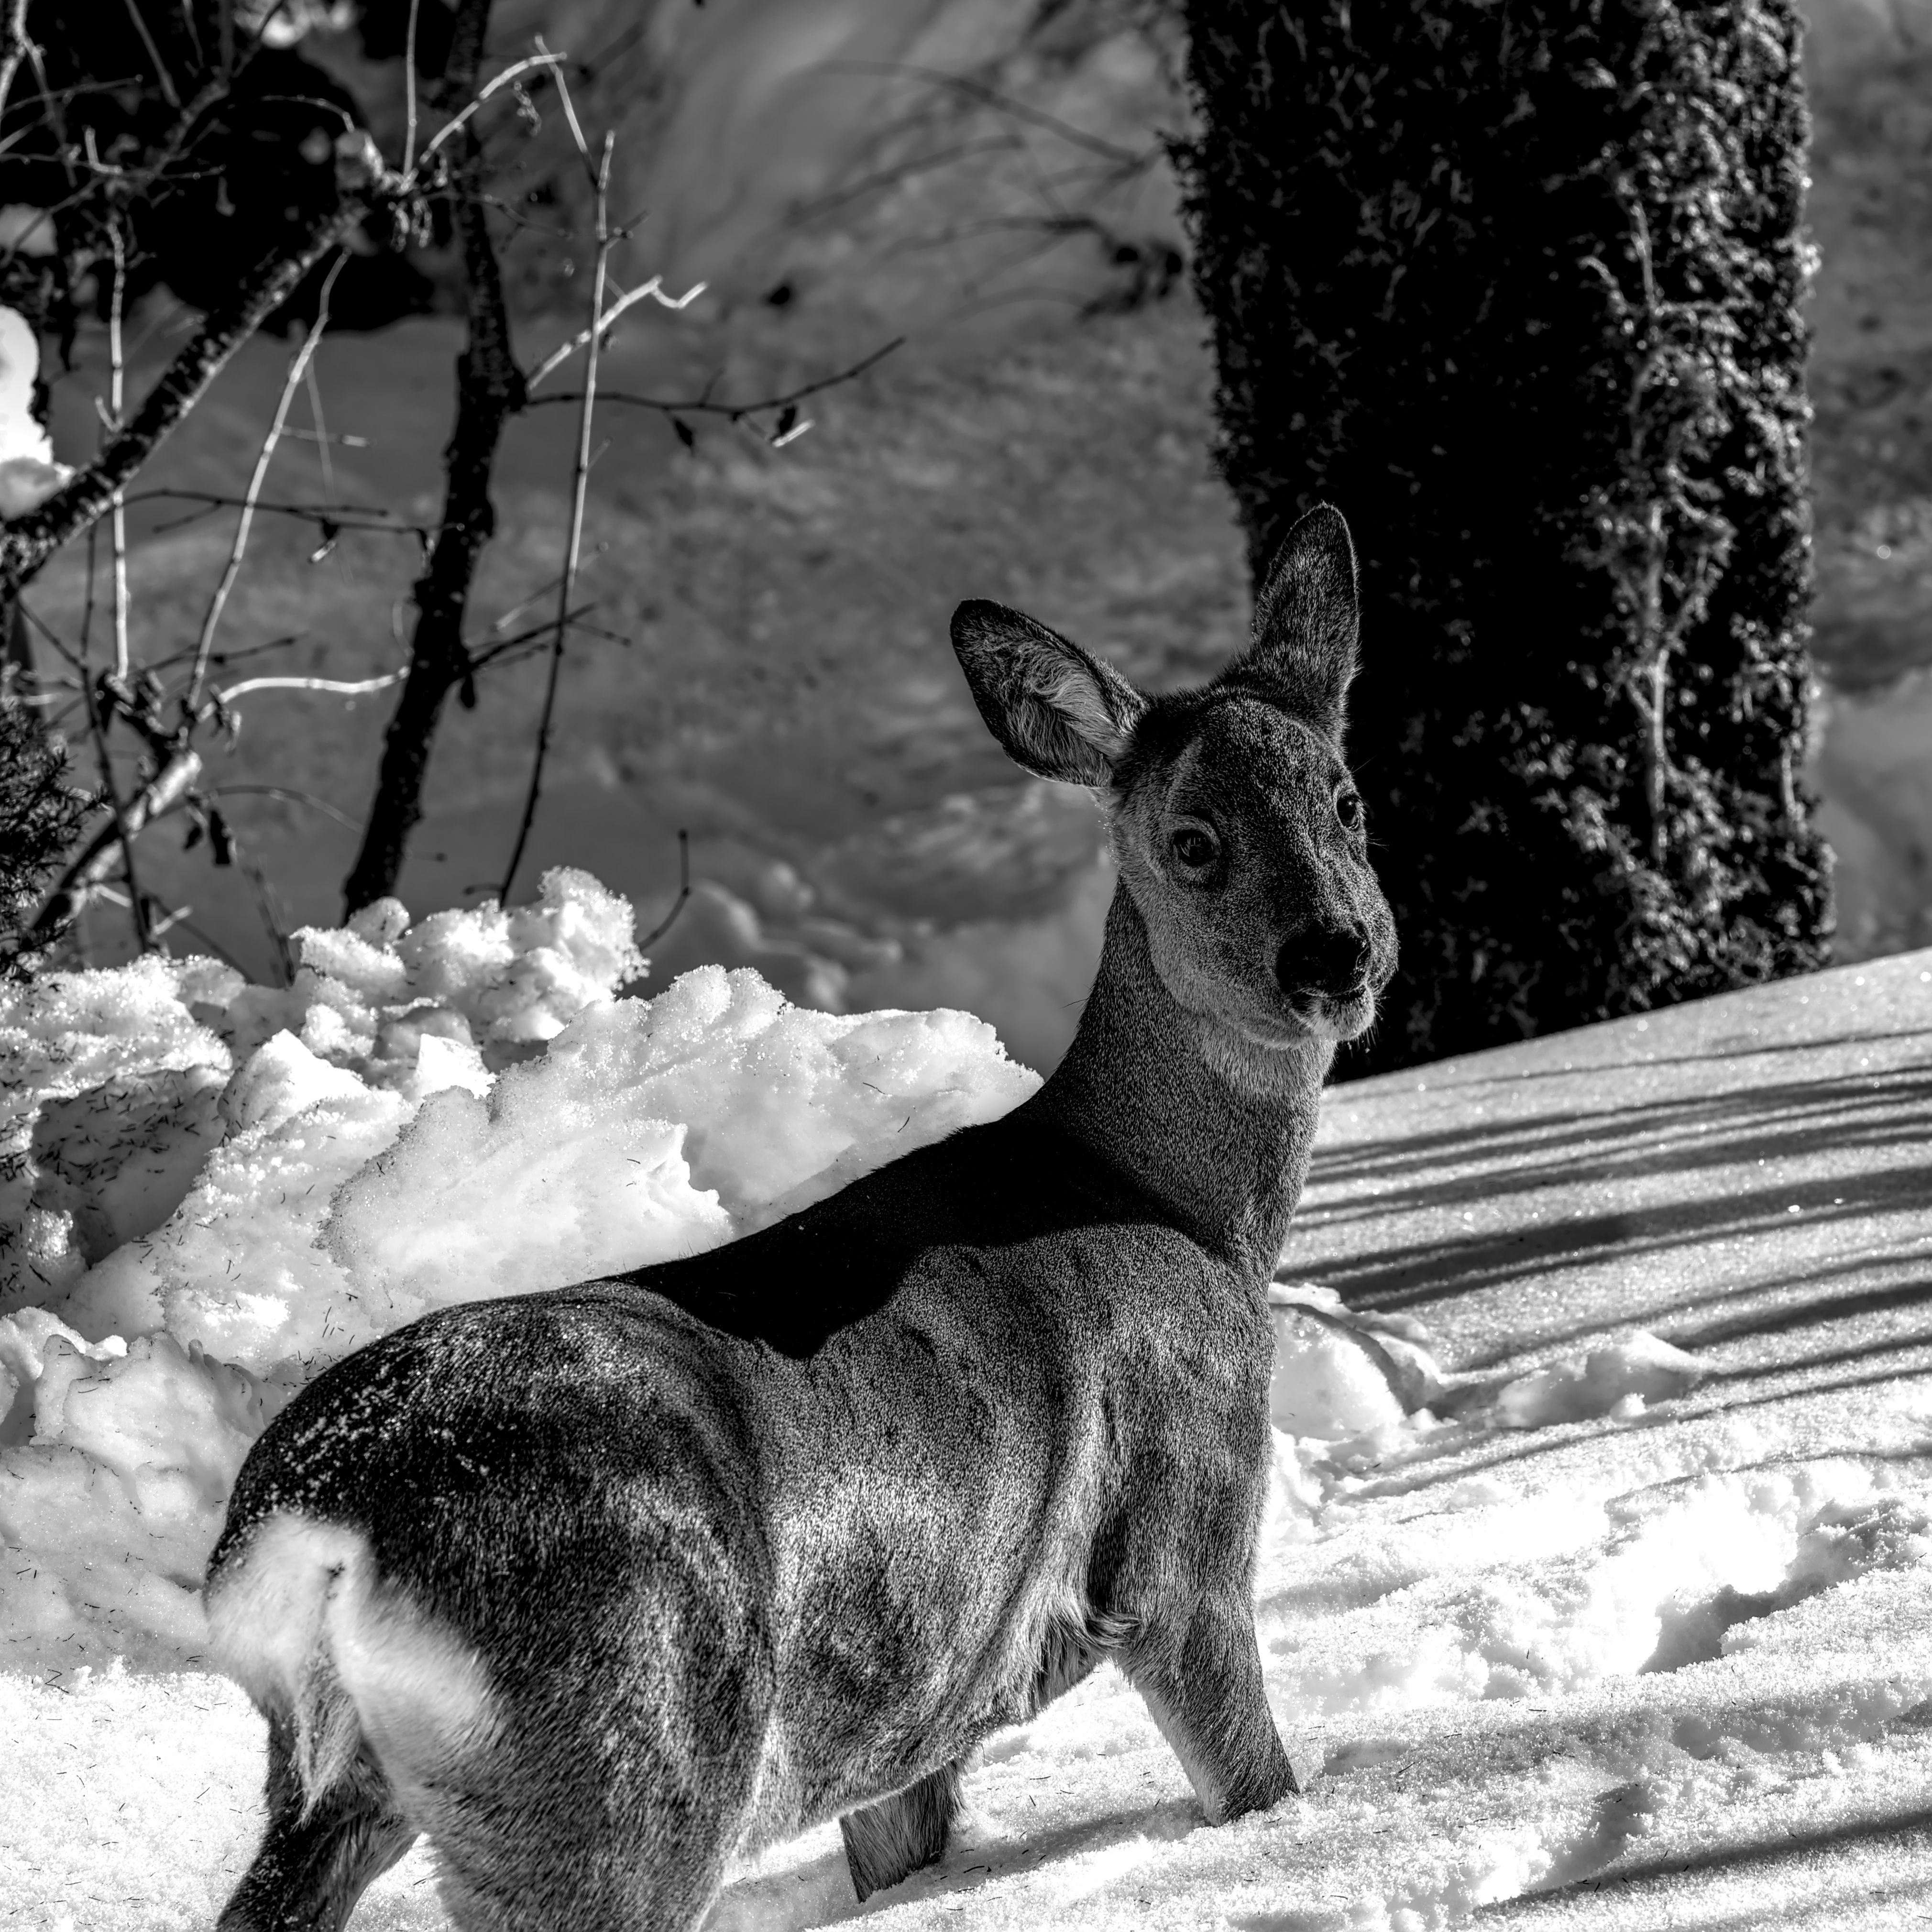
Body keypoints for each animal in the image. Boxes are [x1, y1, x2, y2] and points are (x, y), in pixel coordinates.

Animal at [203, 502, 1397, 1932]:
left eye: (1346, 798)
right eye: (1192, 841)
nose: (1334, 955)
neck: (1176, 1206)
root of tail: (325, 1521)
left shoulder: (914, 1710)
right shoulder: (1188, 1519)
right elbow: (1254, 1775)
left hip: (334, 1782)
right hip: (623, 1748)